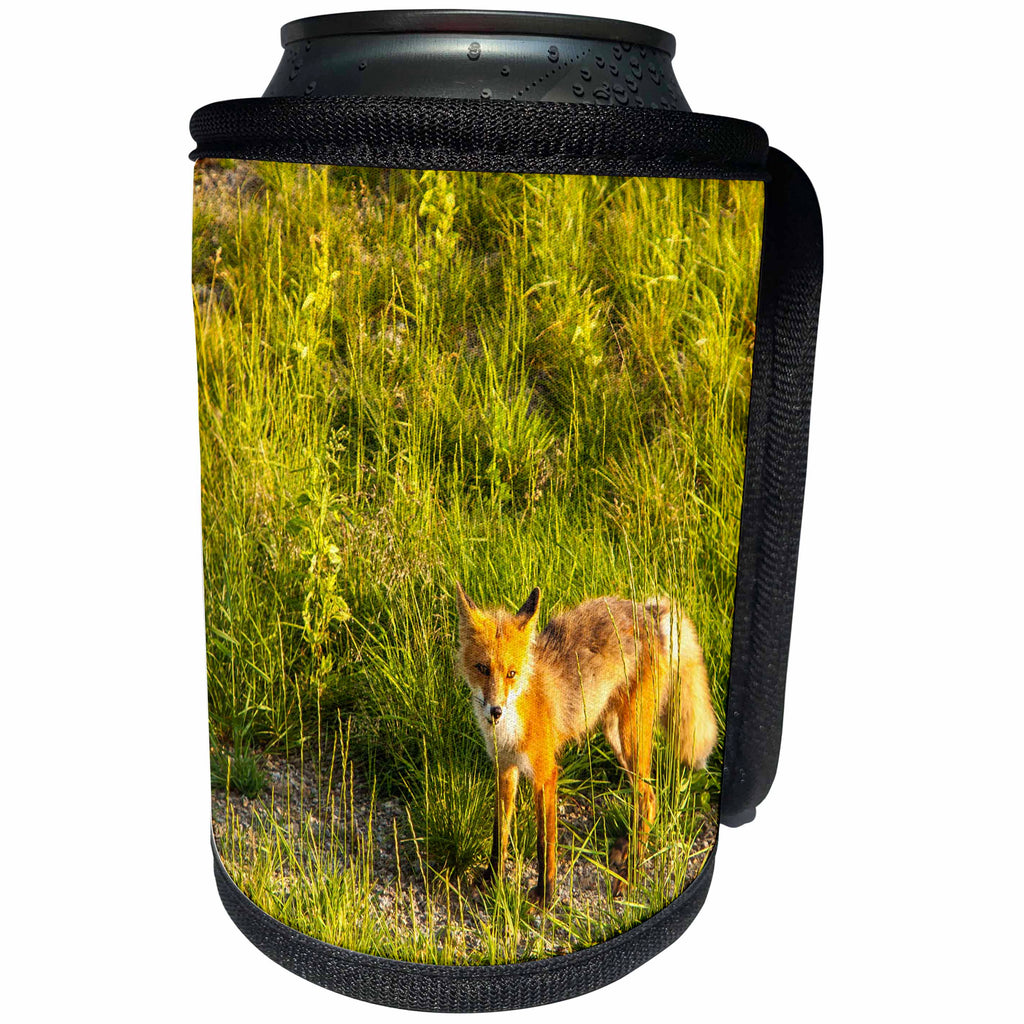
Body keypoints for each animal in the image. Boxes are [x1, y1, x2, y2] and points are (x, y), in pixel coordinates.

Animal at [455, 582, 717, 906]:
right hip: (616, 738)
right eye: (482, 668)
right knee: (646, 799)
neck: (511, 729)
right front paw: (491, 879)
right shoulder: (504, 769)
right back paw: (626, 847)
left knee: (648, 796)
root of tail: (648, 610)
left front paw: (545, 895)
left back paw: (632, 874)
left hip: (632, 736)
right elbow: (499, 833)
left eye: (511, 673)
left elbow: (545, 843)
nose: (495, 711)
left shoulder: (545, 775)